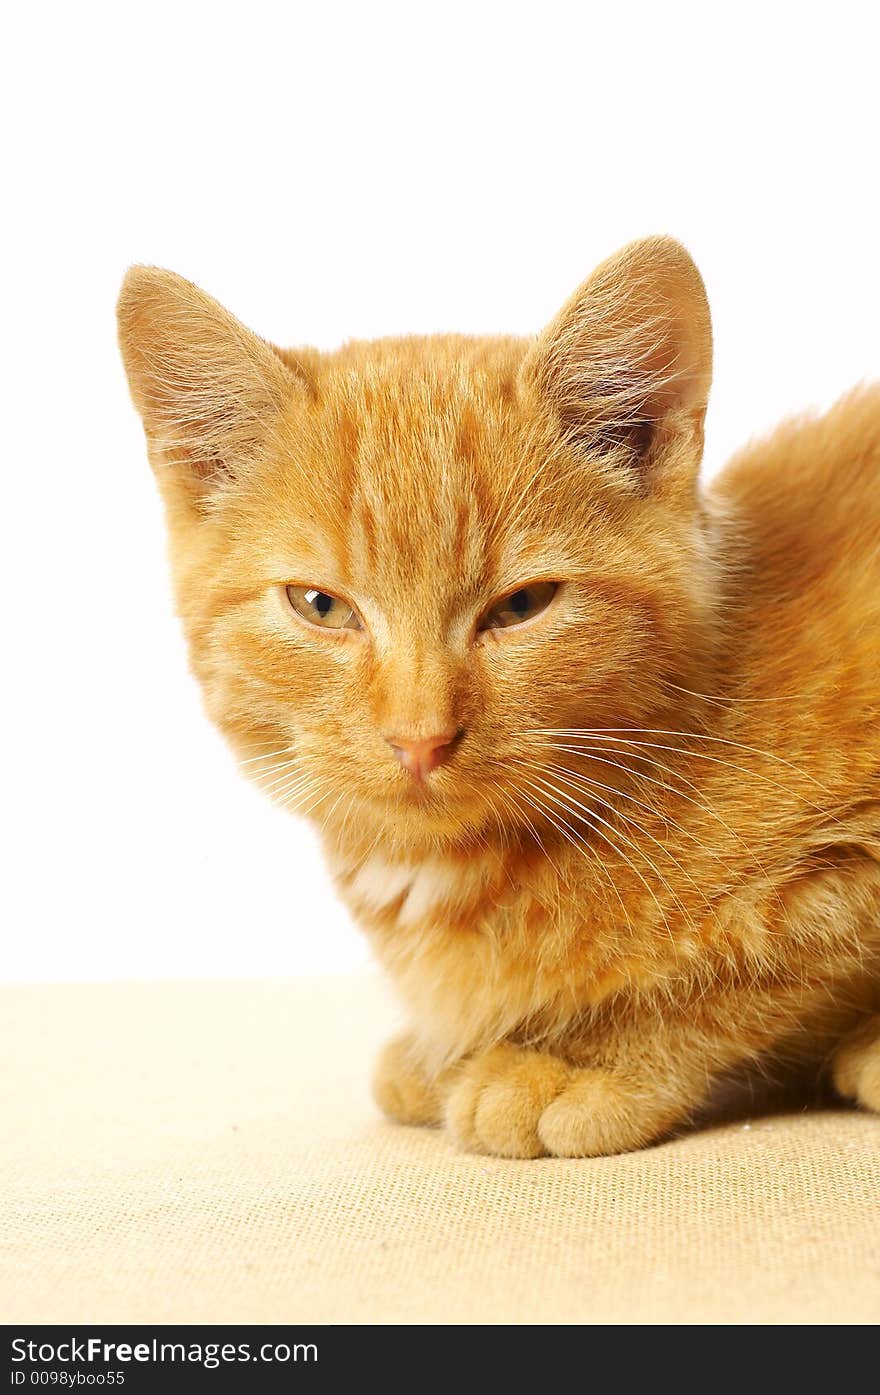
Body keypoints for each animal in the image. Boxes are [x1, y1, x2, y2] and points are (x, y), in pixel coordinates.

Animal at [118, 237, 880, 1155]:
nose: (419, 737)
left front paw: (576, 1058)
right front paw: (445, 1050)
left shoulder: (849, 854)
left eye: (522, 607)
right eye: (320, 606)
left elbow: (754, 967)